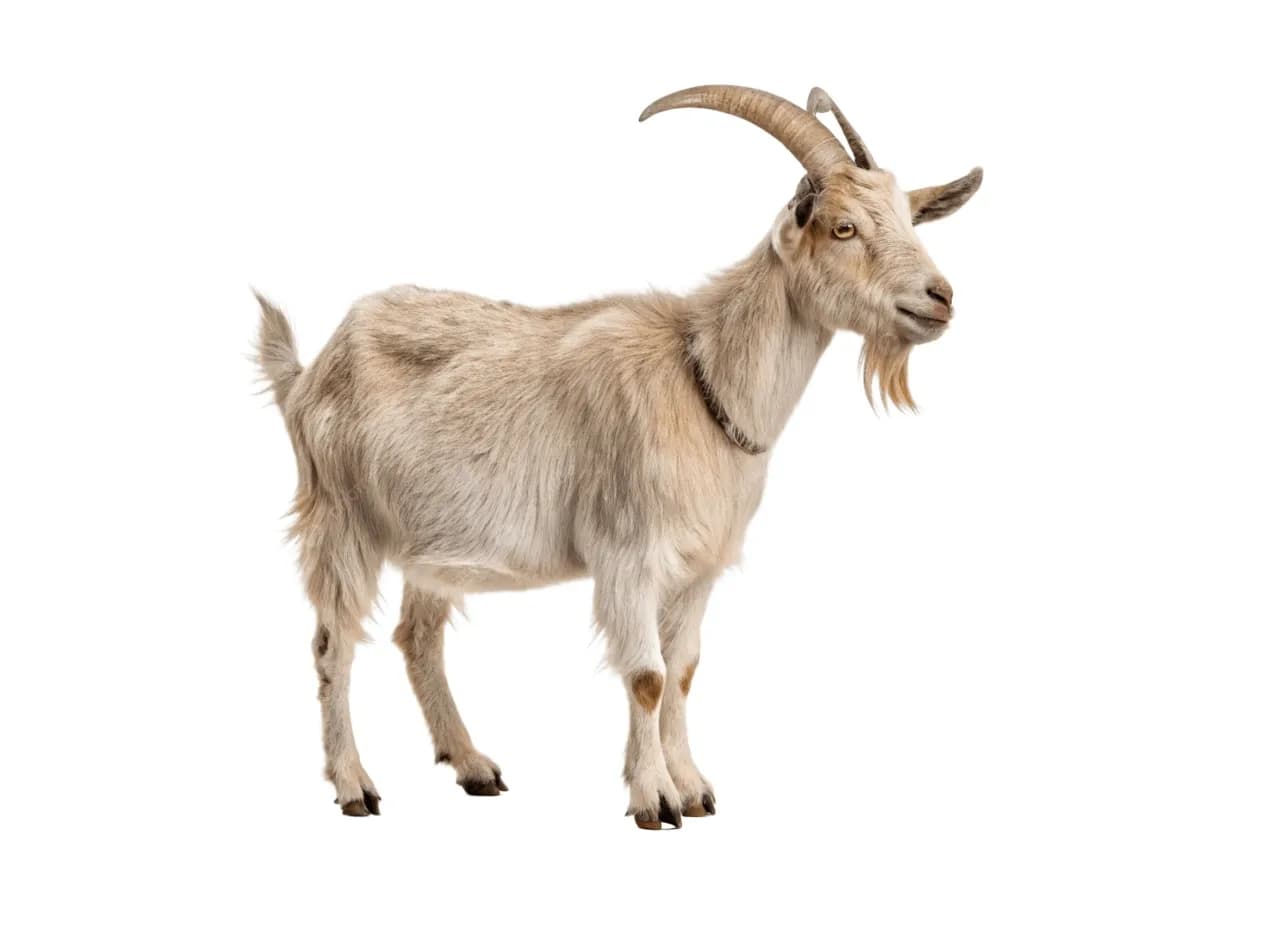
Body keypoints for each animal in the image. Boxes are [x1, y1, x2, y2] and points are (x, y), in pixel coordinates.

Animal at [255, 85, 983, 828]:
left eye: (911, 220)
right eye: (842, 228)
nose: (940, 296)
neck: (702, 380)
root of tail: (311, 371)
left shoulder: (698, 568)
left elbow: (683, 671)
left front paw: (692, 787)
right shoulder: (628, 555)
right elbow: (647, 676)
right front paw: (654, 798)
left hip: (428, 541)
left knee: (418, 637)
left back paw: (473, 765)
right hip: (342, 518)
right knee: (333, 643)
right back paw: (354, 785)